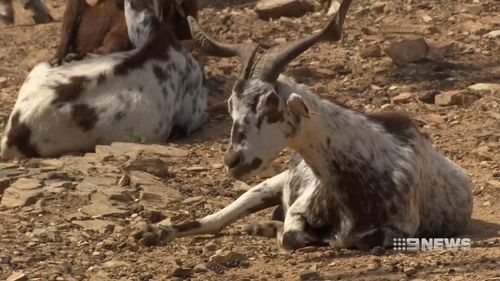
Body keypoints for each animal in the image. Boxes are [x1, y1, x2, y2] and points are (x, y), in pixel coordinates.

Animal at [133, 0, 472, 249]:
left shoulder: (402, 228)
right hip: (268, 184)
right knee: (218, 219)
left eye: (271, 104)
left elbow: (351, 240)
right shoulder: (299, 207)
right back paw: (152, 232)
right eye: (231, 106)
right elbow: (292, 235)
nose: (233, 160)